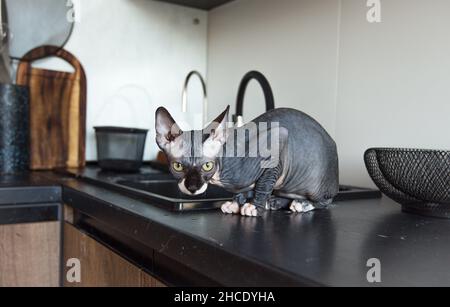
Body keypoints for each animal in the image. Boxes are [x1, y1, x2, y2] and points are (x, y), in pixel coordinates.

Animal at [155, 107, 338, 218]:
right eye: (178, 166)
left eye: (207, 166)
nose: (192, 188)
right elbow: (242, 190)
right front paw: (236, 203)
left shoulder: (279, 140)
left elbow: (263, 185)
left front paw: (254, 206)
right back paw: (276, 202)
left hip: (315, 184)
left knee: (326, 202)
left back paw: (301, 204)